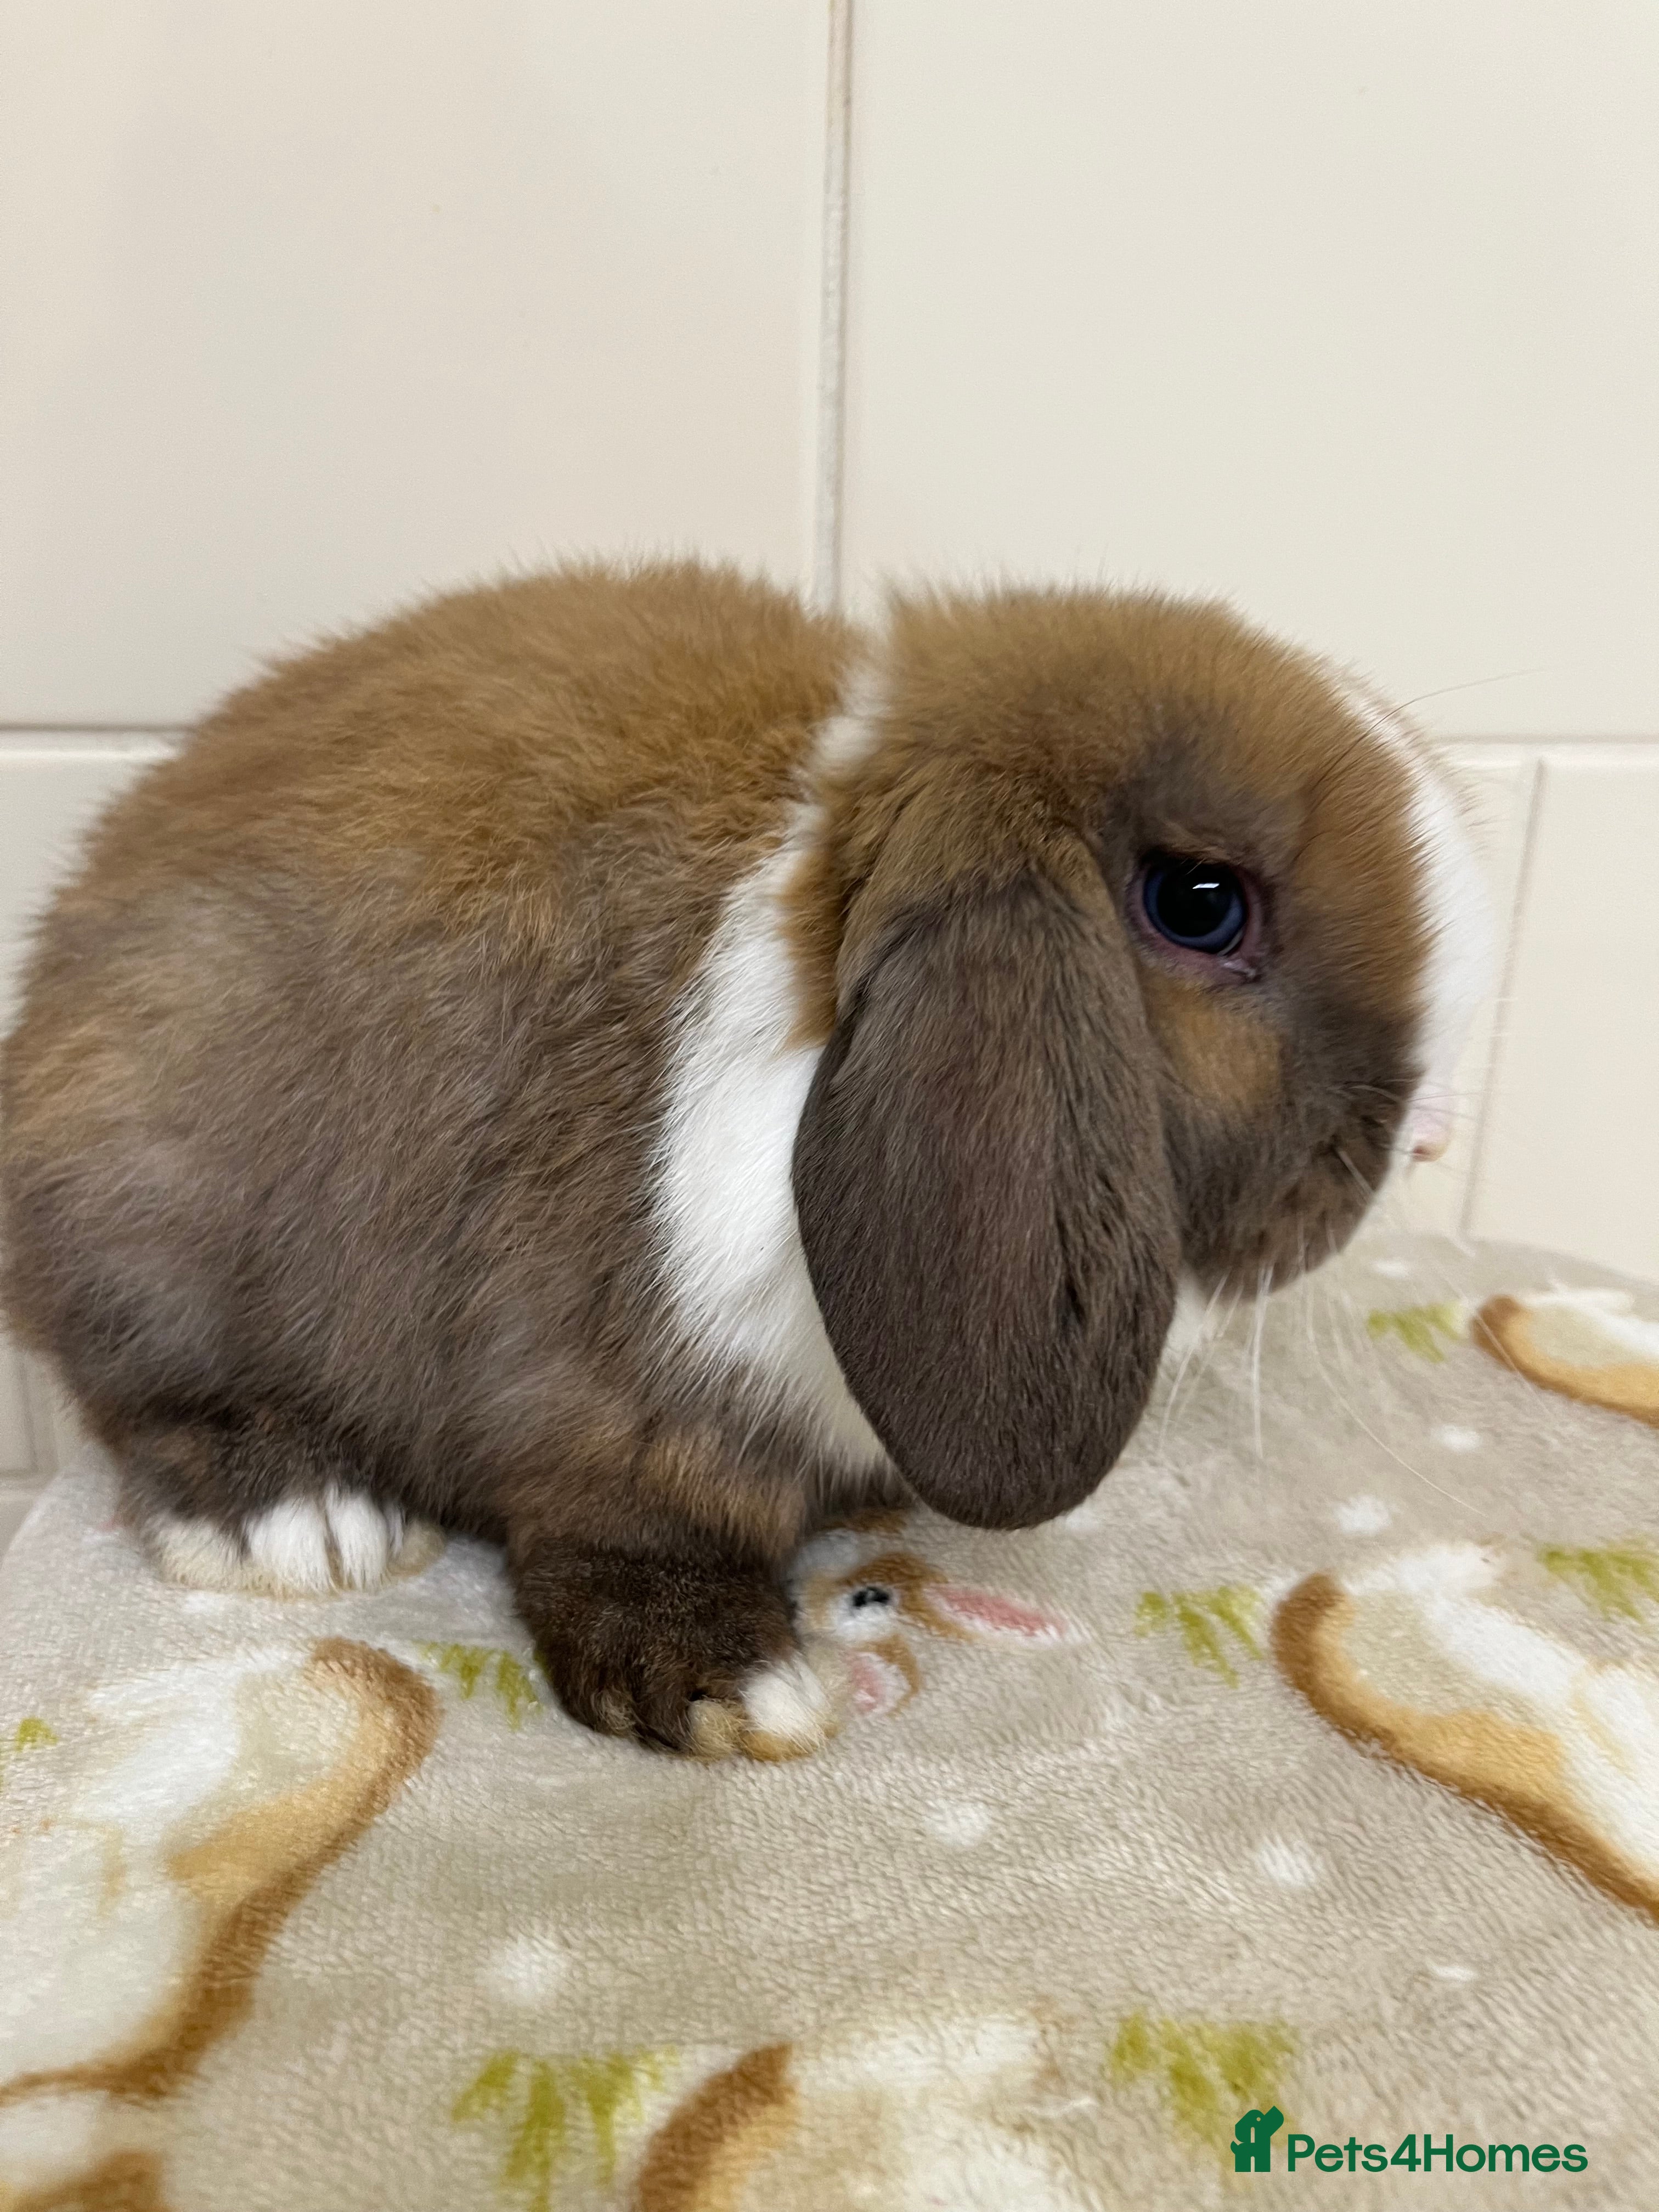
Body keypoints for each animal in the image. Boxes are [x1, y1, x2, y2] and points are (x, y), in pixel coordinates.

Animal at [0, 560, 1488, 1760]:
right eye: (1199, 903)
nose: (1431, 1136)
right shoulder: (610, 1405)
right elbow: (630, 1539)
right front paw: (740, 1690)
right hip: (142, 1192)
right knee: (147, 1395)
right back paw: (301, 1522)